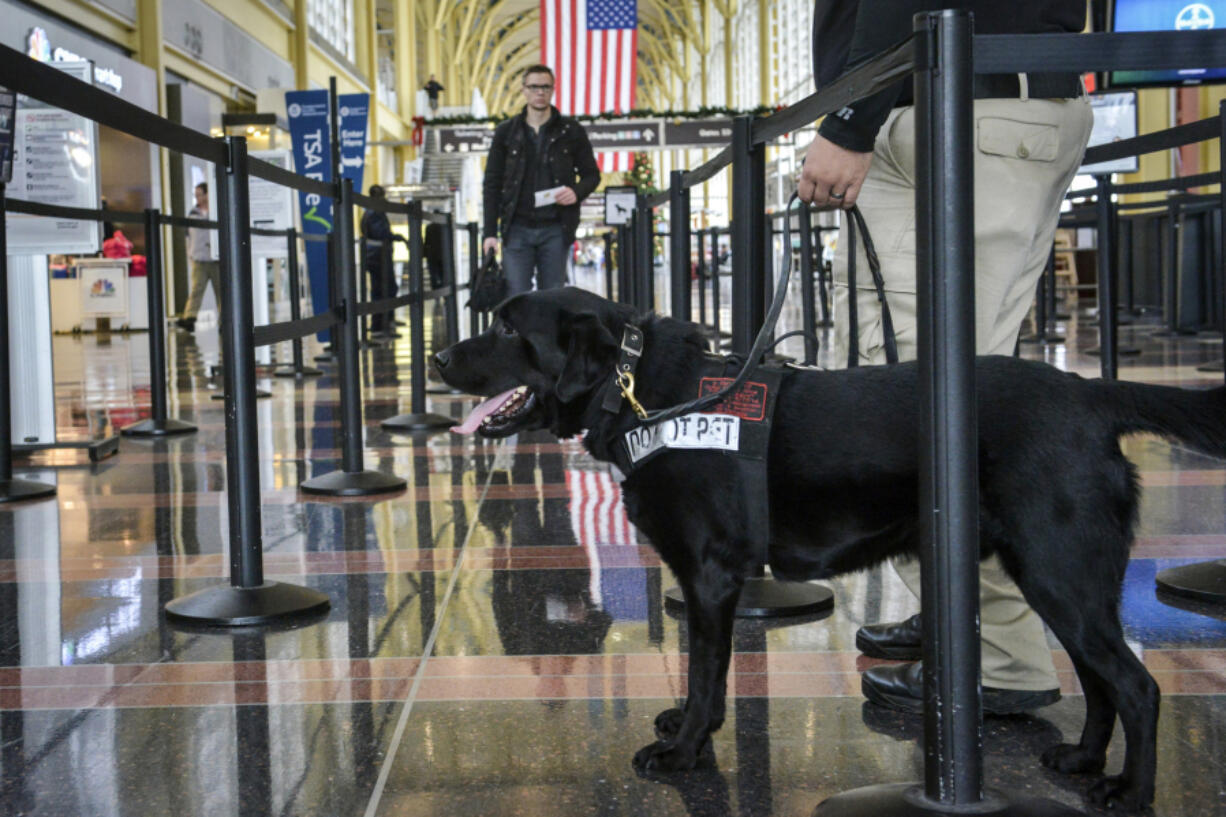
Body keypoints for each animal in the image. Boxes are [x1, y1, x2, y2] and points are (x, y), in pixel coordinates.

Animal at [434, 285, 1226, 809]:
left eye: (506, 326)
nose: (439, 355)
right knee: (1100, 680)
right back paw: (1084, 759)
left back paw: (1131, 789)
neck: (644, 394)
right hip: (1056, 577)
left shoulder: (712, 576)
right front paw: (687, 726)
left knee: (1138, 685)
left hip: (1060, 570)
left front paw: (685, 749)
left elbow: (707, 671)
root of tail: (1090, 393)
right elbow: (700, 668)